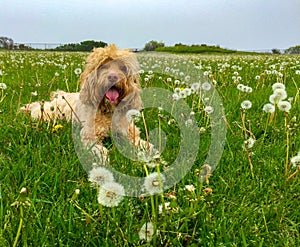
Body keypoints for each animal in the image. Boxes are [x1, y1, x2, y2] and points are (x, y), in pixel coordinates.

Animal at [21, 44, 152, 164]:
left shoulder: (129, 132)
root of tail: (59, 95)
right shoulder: (90, 136)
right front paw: (104, 160)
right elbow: (100, 150)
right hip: (48, 114)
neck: (108, 111)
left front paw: (149, 151)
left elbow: (141, 142)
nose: (113, 77)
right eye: (103, 66)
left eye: (123, 67)